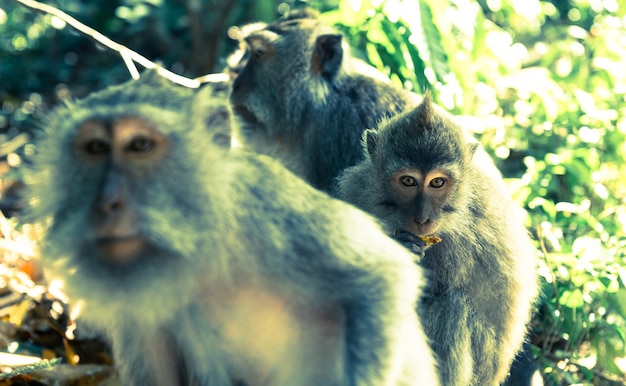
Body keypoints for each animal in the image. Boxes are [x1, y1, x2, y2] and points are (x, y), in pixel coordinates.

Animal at [25, 70, 438, 386]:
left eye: (140, 145)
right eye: (95, 148)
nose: (106, 203)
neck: (196, 246)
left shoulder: (264, 205)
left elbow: (379, 278)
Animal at [334, 94, 540, 386]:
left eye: (437, 183)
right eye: (408, 181)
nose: (422, 217)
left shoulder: (463, 239)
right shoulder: (355, 189)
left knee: (450, 307)